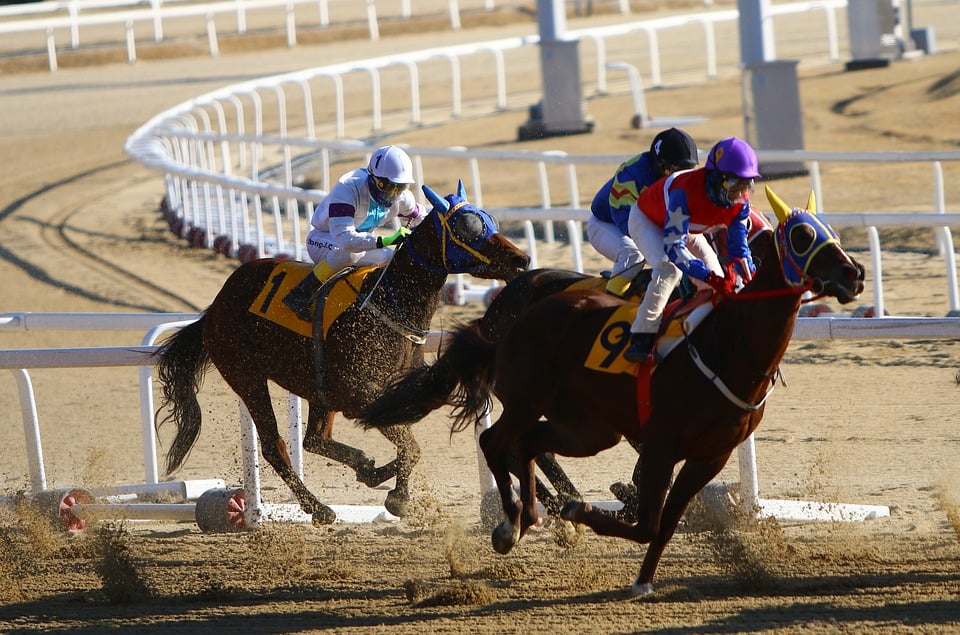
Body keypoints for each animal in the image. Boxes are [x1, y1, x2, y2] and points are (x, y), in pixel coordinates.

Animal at [153, 180, 528, 528]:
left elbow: (409, 446)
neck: (387, 305)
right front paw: (397, 498)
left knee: (314, 439)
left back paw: (361, 471)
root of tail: (214, 308)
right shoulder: (358, 395)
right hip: (246, 375)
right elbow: (410, 446)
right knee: (276, 446)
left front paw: (382, 479)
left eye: (488, 219)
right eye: (468, 226)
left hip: (316, 388)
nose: (521, 259)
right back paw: (319, 508)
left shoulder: (388, 395)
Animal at [358, 186, 864, 592]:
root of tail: (506, 307)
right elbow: (648, 506)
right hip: (536, 400)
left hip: (581, 421)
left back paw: (546, 511)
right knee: (506, 442)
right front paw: (613, 506)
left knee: (527, 445)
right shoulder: (660, 437)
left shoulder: (700, 449)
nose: (854, 273)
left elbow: (659, 515)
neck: (726, 342)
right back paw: (530, 517)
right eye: (801, 236)